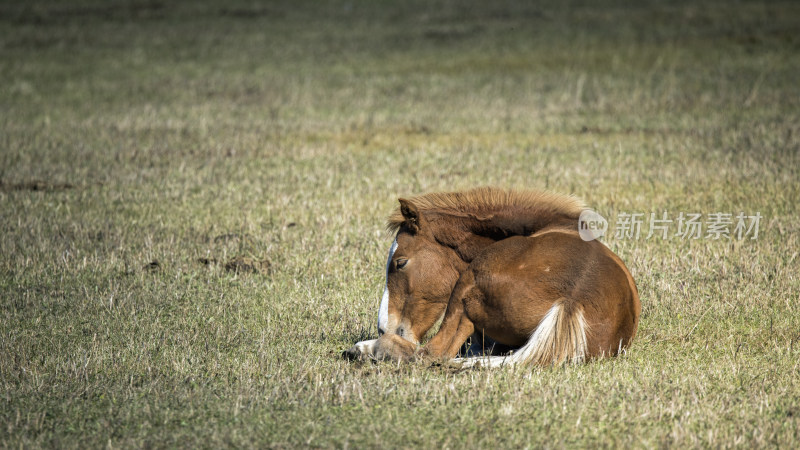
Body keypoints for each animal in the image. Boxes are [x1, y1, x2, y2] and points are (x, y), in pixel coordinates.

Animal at [346, 186, 644, 366]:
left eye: (400, 263)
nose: (384, 327)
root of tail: (571, 301)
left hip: (465, 287)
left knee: (434, 353)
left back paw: (365, 348)